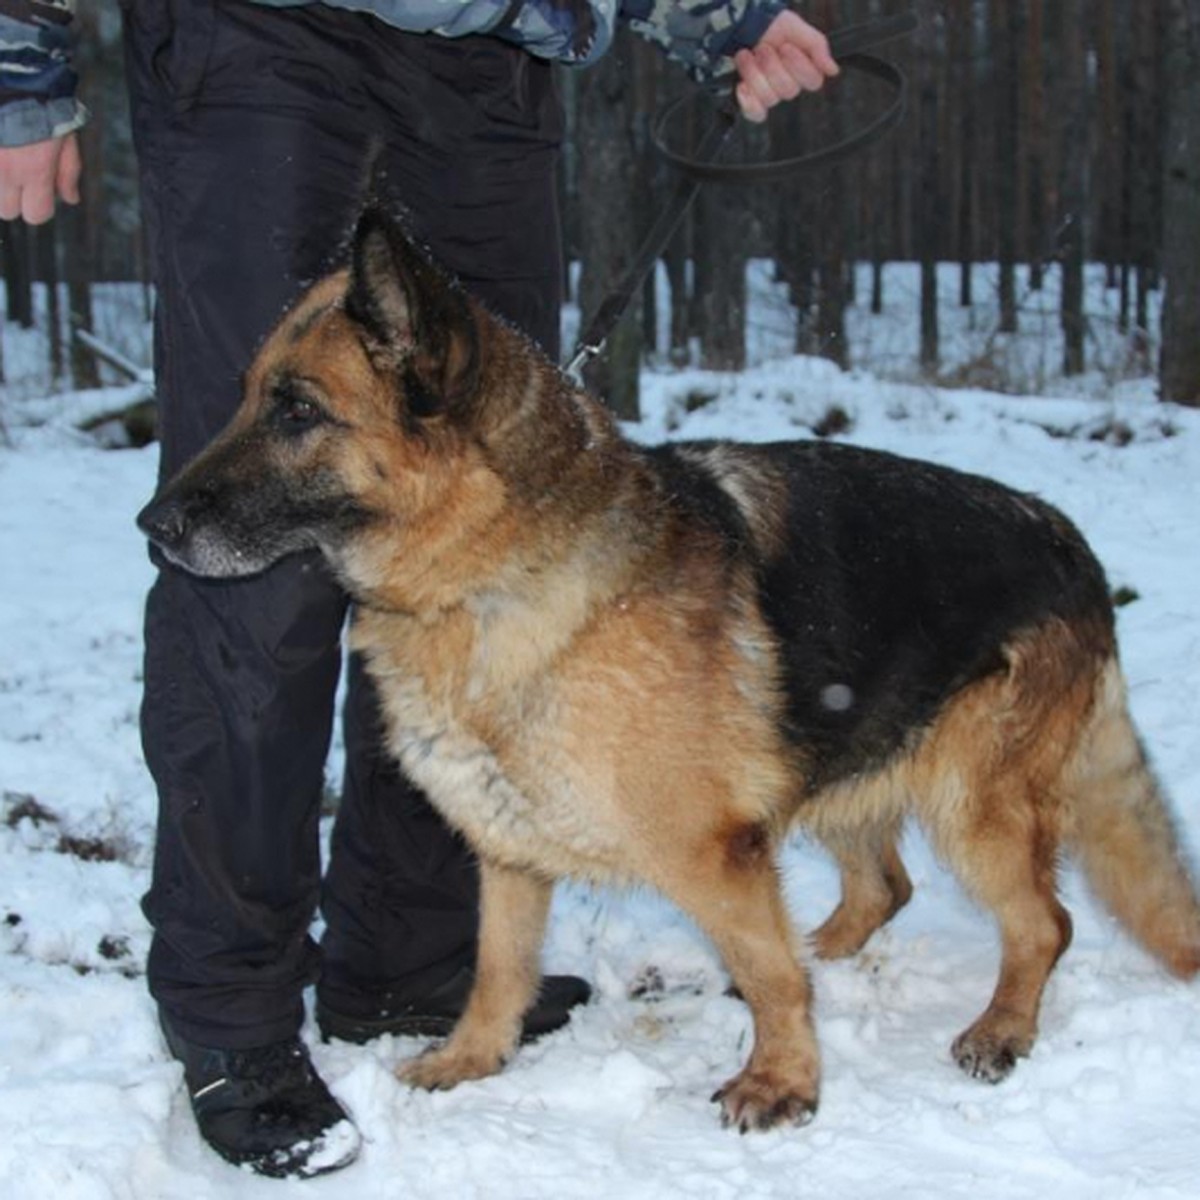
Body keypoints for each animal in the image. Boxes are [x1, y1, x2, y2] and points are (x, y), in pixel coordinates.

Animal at [136, 208, 1195, 1132]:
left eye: (297, 411)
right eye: (245, 395)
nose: (152, 525)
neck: (484, 572)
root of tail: (1070, 540)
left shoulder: (709, 850)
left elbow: (770, 976)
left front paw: (782, 1085)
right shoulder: (509, 849)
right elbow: (498, 968)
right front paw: (474, 1060)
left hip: (973, 805)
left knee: (1042, 923)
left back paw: (1001, 1028)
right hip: (841, 756)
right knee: (883, 887)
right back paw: (831, 955)